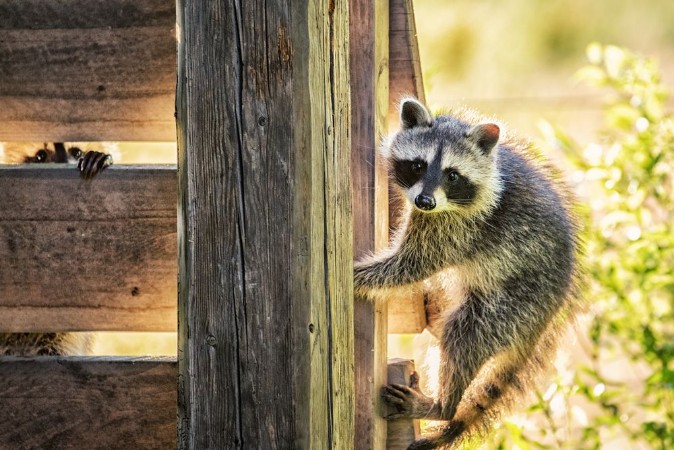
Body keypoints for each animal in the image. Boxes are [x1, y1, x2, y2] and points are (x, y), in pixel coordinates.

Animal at [354, 98, 582, 449]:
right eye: (417, 165)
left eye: (452, 175)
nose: (424, 200)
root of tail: (546, 315)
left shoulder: (459, 228)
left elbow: (410, 265)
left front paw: (359, 276)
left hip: (513, 303)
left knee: (464, 336)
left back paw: (442, 405)